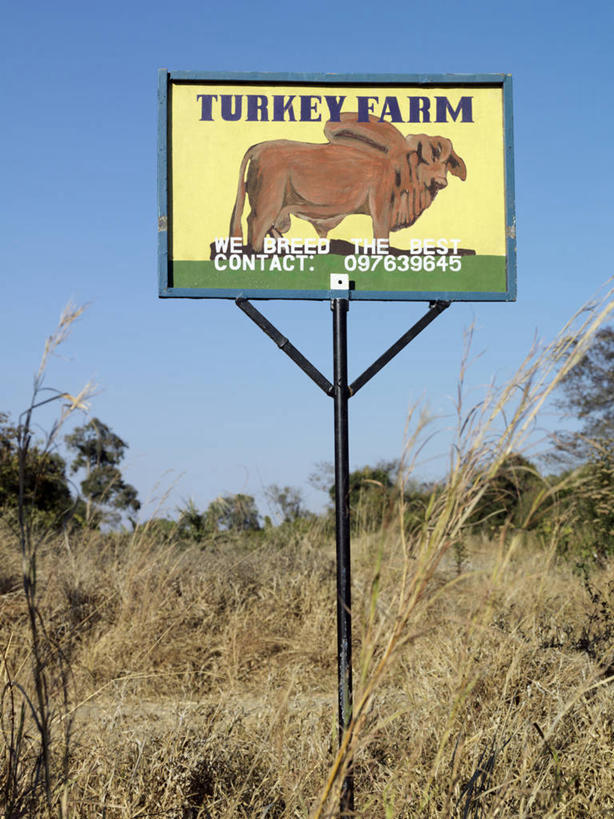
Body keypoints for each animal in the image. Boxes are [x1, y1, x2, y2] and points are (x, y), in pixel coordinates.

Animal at [230, 112, 466, 251]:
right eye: (426, 158)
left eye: (447, 163)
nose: (441, 181)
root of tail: (258, 148)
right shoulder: (381, 208)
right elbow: (381, 237)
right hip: (268, 203)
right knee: (256, 224)